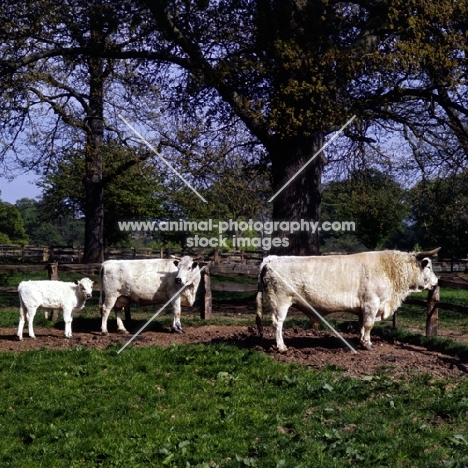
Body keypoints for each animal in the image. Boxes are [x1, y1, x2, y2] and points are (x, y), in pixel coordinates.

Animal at [256, 249, 438, 352]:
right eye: (428, 266)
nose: (437, 281)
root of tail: (272, 258)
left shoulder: (363, 308)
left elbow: (362, 325)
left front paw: (361, 341)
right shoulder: (372, 303)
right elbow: (369, 325)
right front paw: (368, 344)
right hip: (280, 302)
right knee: (277, 323)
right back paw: (281, 347)